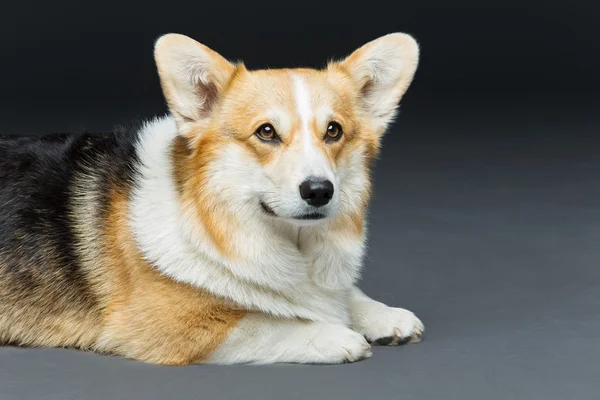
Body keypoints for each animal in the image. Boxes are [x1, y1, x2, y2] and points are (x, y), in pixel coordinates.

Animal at [0, 32, 422, 364]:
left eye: (334, 131)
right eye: (266, 132)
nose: (319, 191)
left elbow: (342, 294)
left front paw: (382, 316)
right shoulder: (172, 328)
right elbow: (266, 322)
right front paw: (334, 335)